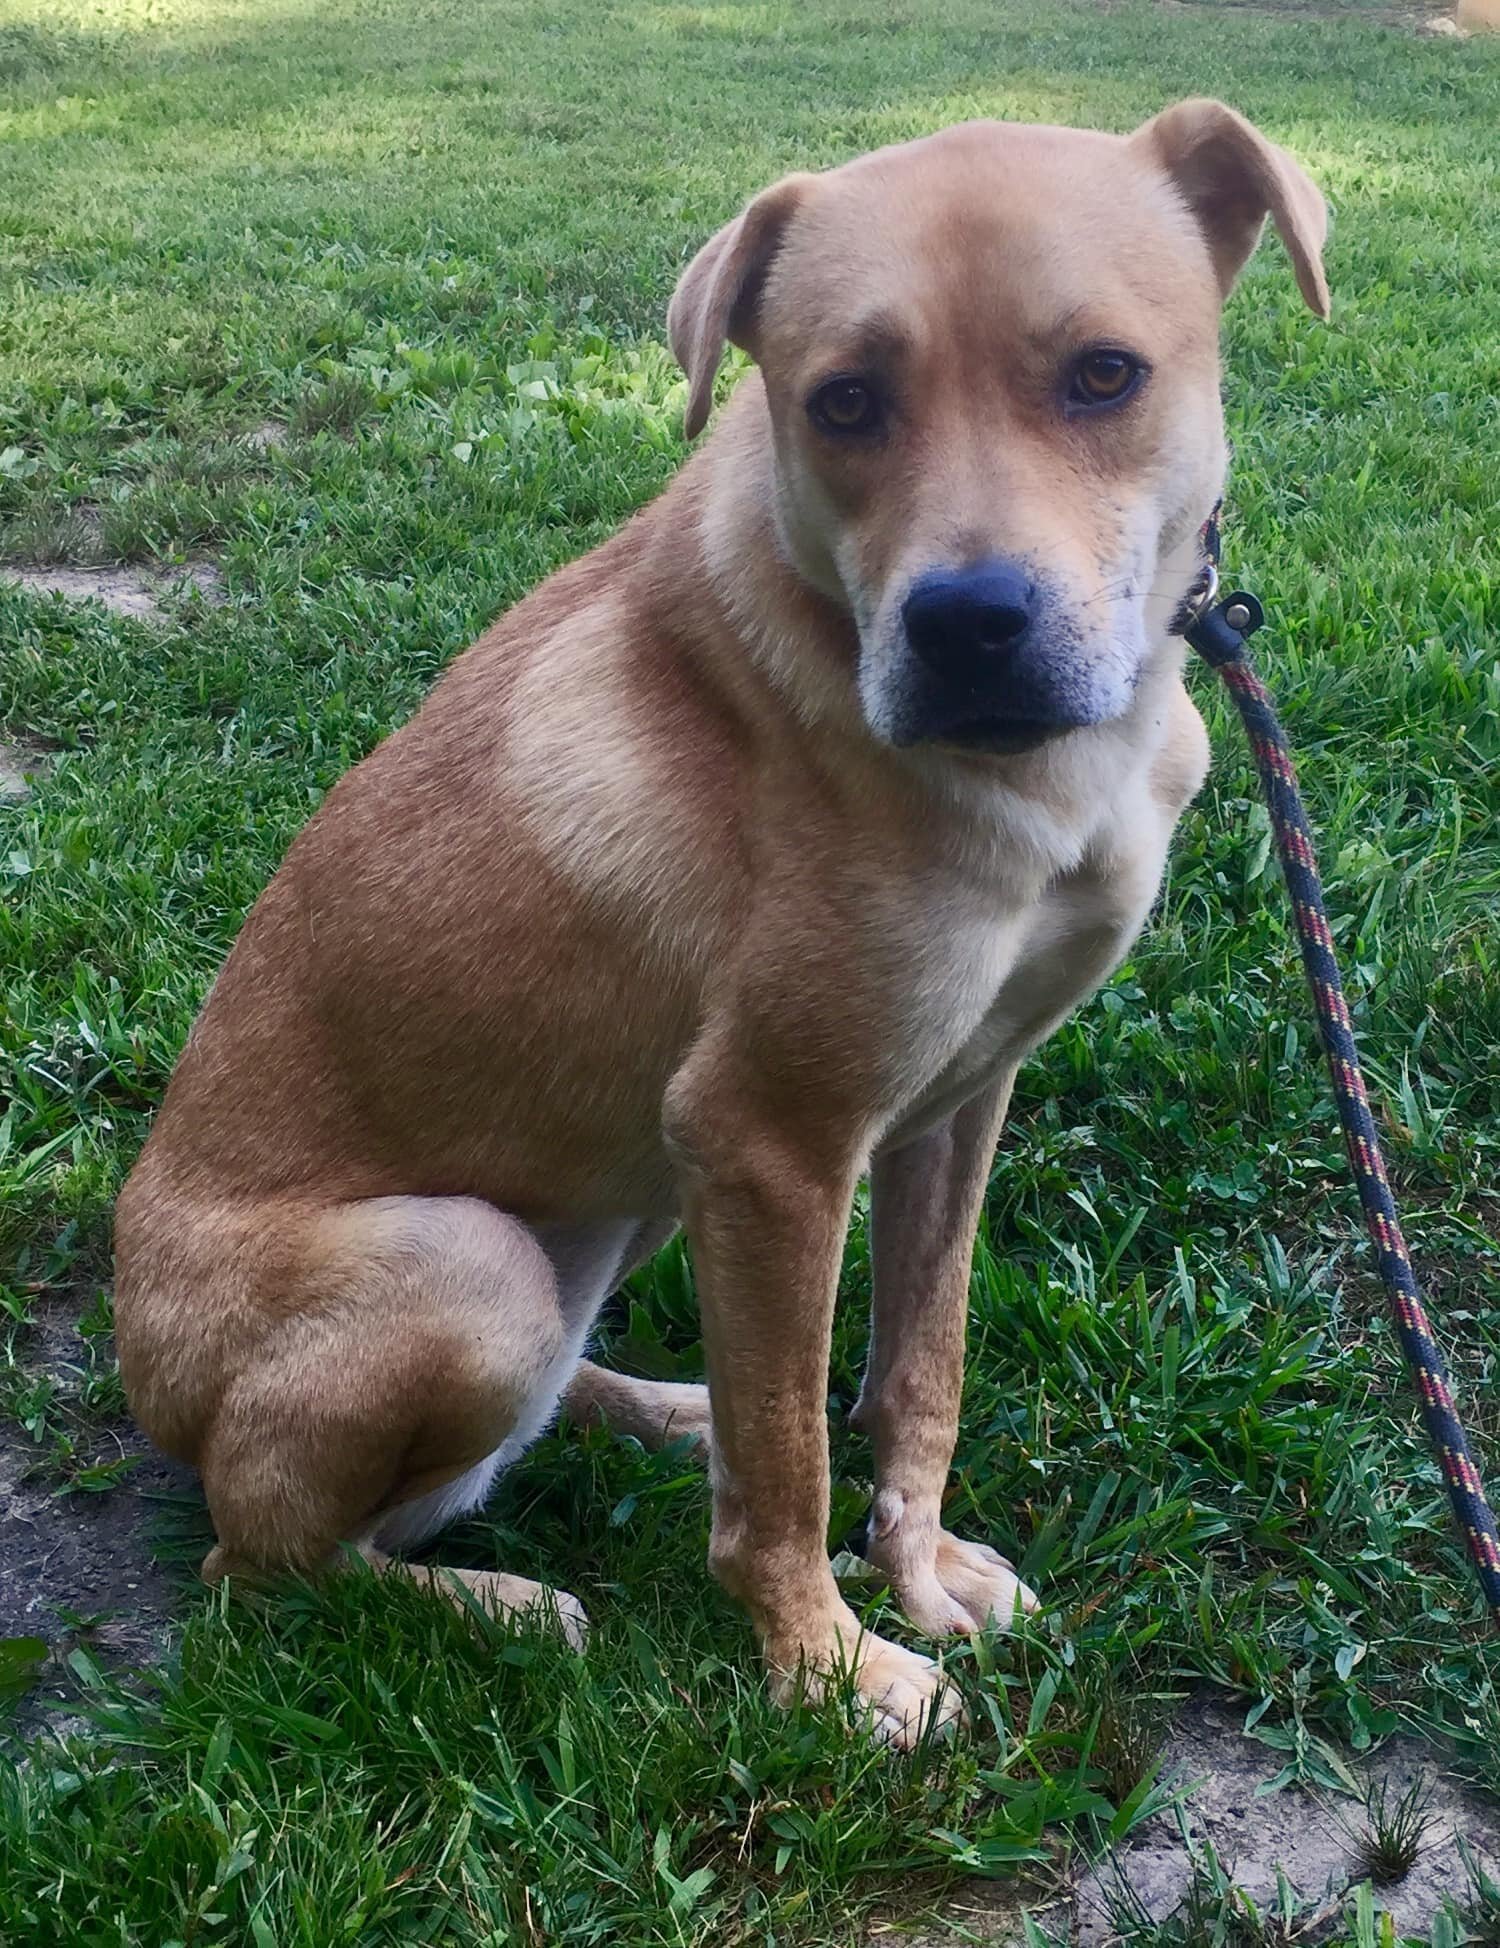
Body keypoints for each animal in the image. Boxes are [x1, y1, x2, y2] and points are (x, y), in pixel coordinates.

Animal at [119, 98, 1324, 1745]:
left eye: (1103, 375)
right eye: (843, 402)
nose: (968, 626)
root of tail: (138, 1370)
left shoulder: (961, 1098)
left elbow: (918, 1367)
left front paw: (916, 1563)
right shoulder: (768, 1139)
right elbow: (784, 1471)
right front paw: (822, 1668)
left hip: (622, 1202)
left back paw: (649, 1408)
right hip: (475, 1266)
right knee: (266, 1562)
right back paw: (497, 1605)